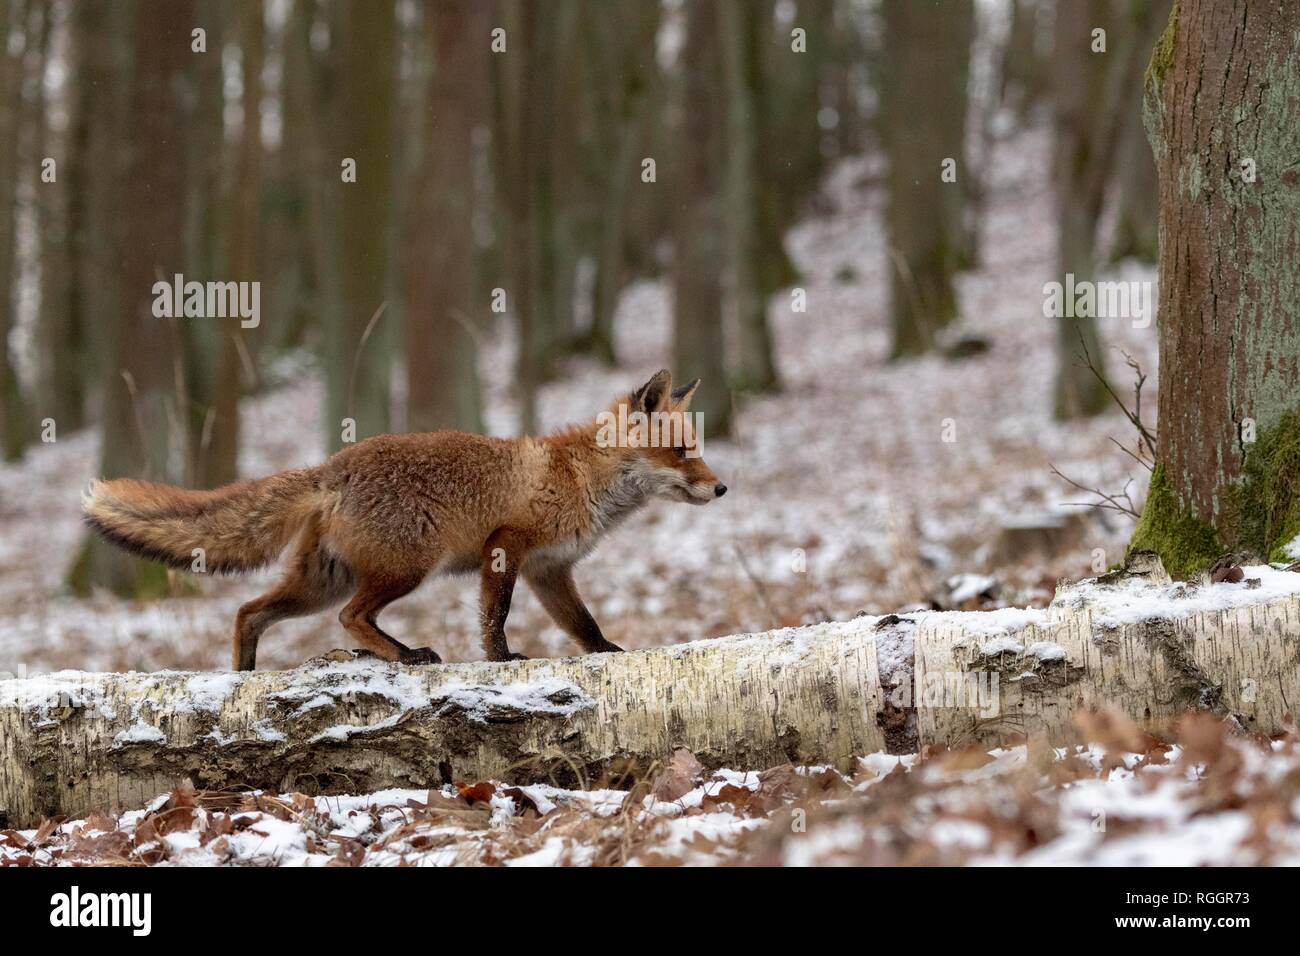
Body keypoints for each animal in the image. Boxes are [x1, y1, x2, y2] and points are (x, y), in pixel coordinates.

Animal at [82, 369, 726, 670]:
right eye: (682, 452)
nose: (721, 487)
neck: (579, 476)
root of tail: (332, 467)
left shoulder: (551, 570)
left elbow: (584, 625)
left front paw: (608, 652)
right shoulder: (506, 544)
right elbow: (495, 617)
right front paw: (500, 660)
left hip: (320, 583)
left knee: (248, 612)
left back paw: (242, 676)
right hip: (405, 569)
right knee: (350, 616)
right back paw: (405, 654)